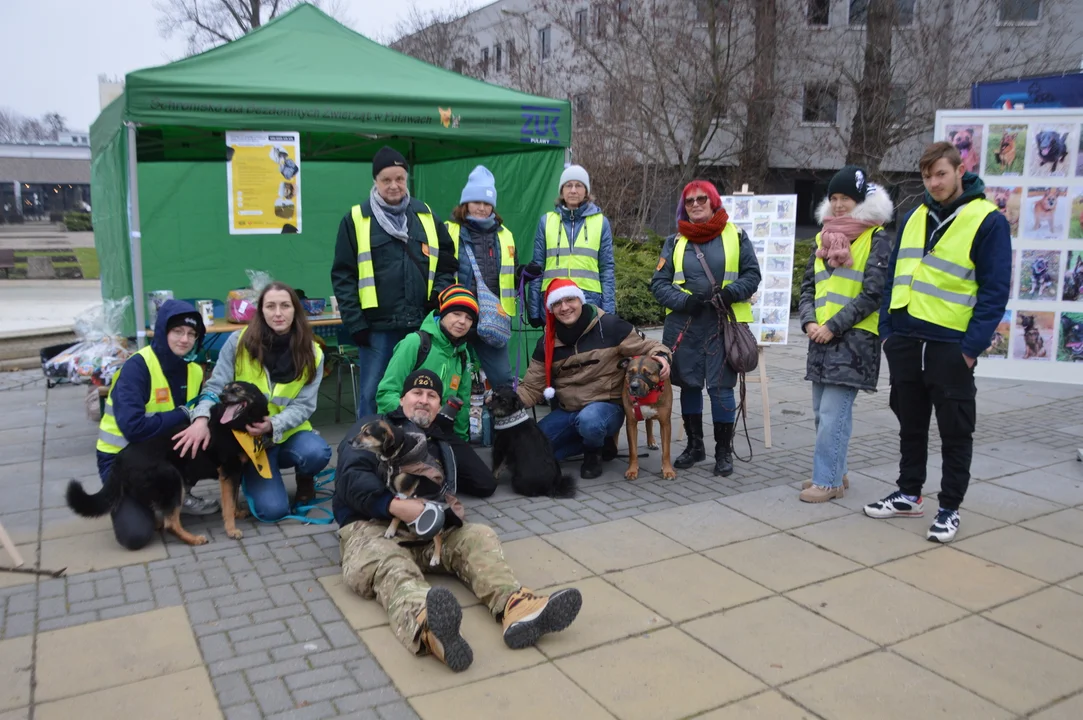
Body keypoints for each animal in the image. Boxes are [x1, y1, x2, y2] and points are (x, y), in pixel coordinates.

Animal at [66, 381, 269, 545]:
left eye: (237, 389)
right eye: (225, 389)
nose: (220, 396)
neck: (237, 425)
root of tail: (120, 459)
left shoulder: (235, 472)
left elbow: (232, 500)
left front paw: (238, 513)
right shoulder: (228, 471)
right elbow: (228, 504)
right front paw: (231, 529)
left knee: (160, 517)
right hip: (172, 478)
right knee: (170, 523)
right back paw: (193, 539)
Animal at [350, 417, 461, 563]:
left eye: (367, 433)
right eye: (361, 429)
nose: (349, 441)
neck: (394, 458)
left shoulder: (404, 492)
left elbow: (397, 514)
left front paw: (390, 530)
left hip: (433, 520)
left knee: (438, 537)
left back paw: (436, 557)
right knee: (416, 536)